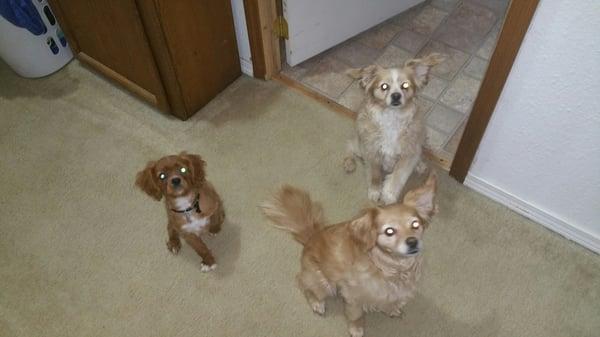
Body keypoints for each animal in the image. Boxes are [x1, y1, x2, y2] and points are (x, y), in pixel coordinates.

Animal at [262, 173, 436, 336]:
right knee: (304, 285)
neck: (389, 268)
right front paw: (356, 329)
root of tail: (312, 236)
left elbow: (389, 301)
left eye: (415, 224)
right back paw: (317, 303)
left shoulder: (392, 293)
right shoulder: (353, 297)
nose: (412, 242)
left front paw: (391, 309)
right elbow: (356, 316)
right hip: (324, 284)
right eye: (389, 231)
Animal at [344, 53, 442, 203]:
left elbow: (398, 175)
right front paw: (375, 191)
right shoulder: (371, 151)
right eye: (384, 86)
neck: (392, 117)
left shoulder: (407, 153)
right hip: (358, 145)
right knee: (349, 146)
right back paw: (349, 163)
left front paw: (389, 195)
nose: (396, 95)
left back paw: (420, 165)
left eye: (405, 85)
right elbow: (375, 175)